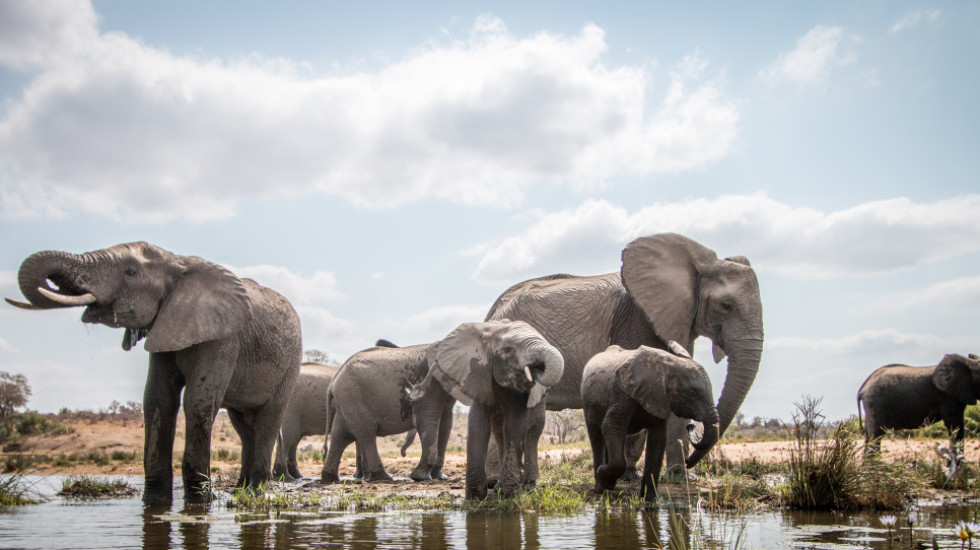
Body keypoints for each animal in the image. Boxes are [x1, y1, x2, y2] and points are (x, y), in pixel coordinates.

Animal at [6, 242, 302, 504]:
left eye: (131, 272)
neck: (176, 260)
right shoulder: (164, 328)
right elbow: (158, 400)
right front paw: (155, 502)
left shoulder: (224, 338)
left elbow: (197, 401)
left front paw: (201, 502)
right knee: (243, 425)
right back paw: (239, 490)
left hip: (290, 363)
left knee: (267, 419)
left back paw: (253, 493)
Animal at [414, 322, 568, 502]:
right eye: (508, 350)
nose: (536, 370)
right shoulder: (478, 375)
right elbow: (479, 425)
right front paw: (475, 498)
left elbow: (515, 426)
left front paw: (509, 494)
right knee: (499, 431)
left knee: (532, 429)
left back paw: (525, 486)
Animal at [486, 233, 760, 488]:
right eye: (725, 305)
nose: (695, 432)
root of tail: (492, 310)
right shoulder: (638, 319)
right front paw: (630, 476)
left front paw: (680, 478)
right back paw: (495, 482)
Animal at [580, 344, 720, 504]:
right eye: (692, 394)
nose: (691, 426)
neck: (669, 365)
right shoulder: (622, 392)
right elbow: (610, 426)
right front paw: (604, 477)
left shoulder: (659, 398)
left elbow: (658, 440)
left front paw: (652, 500)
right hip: (588, 402)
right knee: (597, 437)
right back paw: (601, 488)